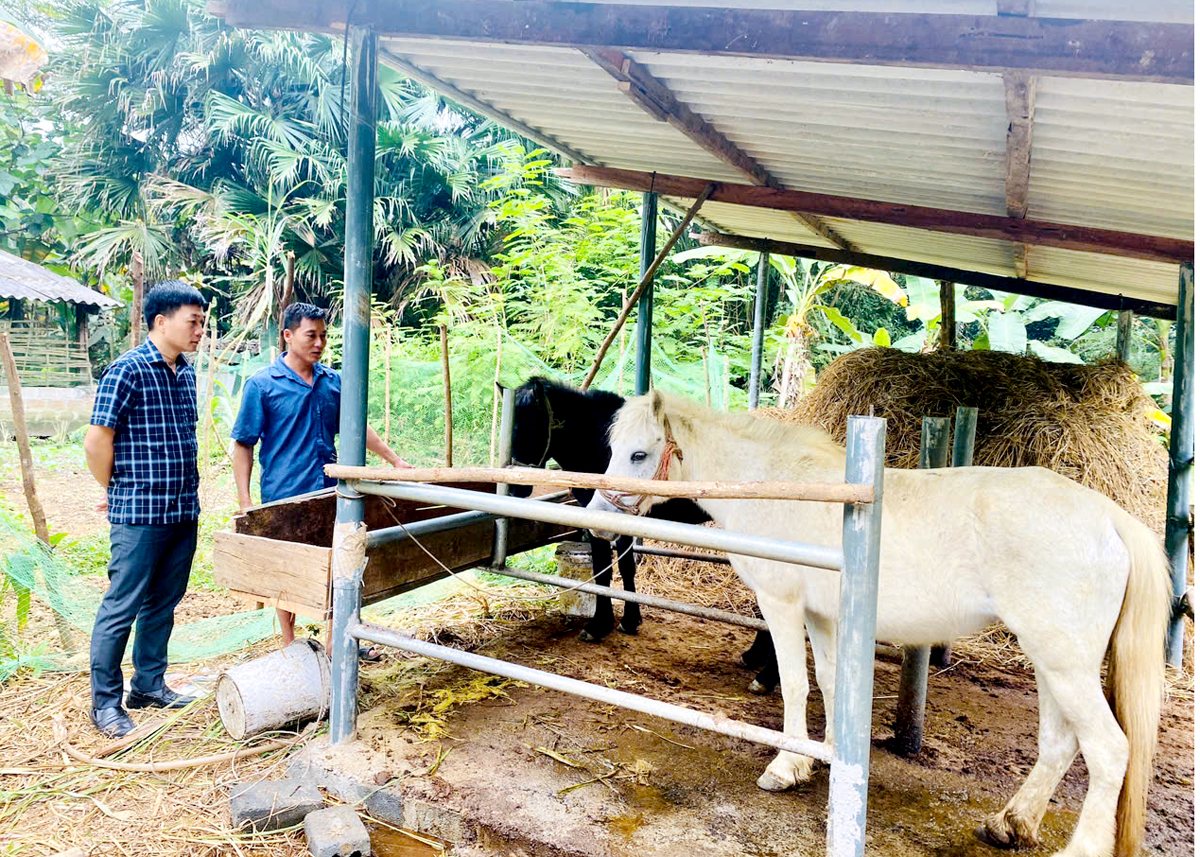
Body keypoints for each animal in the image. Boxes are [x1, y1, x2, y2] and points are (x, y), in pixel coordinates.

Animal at [511, 376, 782, 691]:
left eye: (531, 425)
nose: (516, 489)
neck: (595, 440)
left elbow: (604, 572)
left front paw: (599, 625)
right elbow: (627, 568)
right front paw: (630, 620)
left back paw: (766, 676)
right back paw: (754, 656)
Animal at [590, 391, 1171, 854]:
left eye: (639, 454)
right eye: (614, 450)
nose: (596, 519)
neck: (779, 485)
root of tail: (1110, 518)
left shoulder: (782, 605)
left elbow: (794, 684)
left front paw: (785, 766)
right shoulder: (823, 614)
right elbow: (828, 682)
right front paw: (820, 757)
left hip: (1064, 663)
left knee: (1108, 750)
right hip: (1052, 660)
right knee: (1059, 743)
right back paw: (1011, 823)